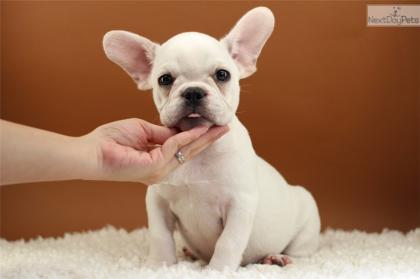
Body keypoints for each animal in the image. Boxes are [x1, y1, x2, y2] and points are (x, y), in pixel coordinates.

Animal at [103, 6, 320, 272]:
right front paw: (159, 265)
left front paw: (219, 270)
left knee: (301, 252)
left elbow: (228, 242)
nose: (193, 91)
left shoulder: (240, 204)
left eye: (222, 75)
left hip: (307, 216)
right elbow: (160, 236)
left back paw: (276, 257)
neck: (199, 155)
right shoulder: (158, 201)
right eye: (165, 79)